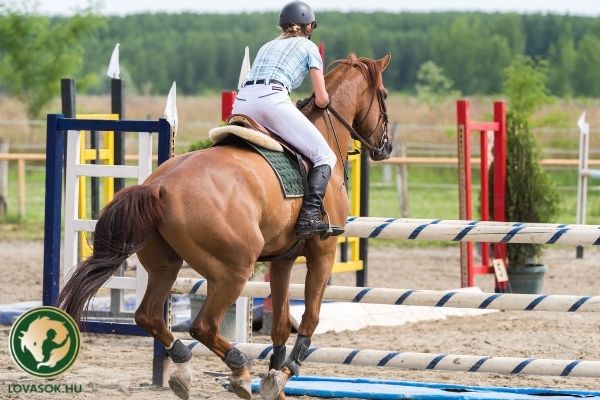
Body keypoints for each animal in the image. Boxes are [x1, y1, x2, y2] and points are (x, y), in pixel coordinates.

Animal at [58, 54, 392, 400]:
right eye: (384, 94)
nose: (386, 146)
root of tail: (159, 185)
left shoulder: (283, 260)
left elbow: (280, 324)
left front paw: (275, 383)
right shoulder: (323, 252)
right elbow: (310, 318)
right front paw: (286, 372)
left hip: (166, 265)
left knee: (148, 316)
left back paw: (184, 369)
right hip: (235, 269)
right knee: (203, 326)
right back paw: (239, 372)